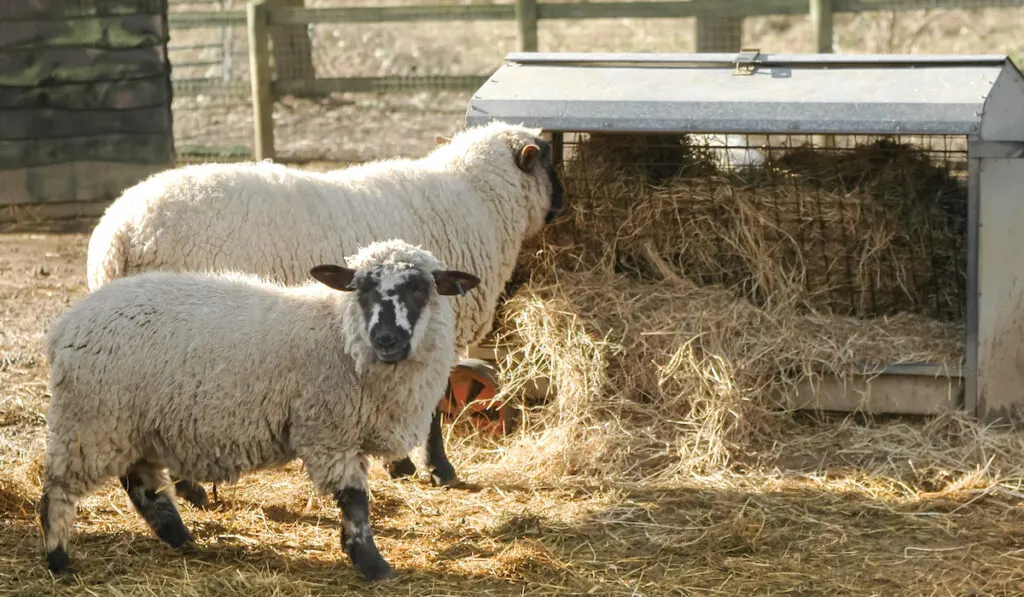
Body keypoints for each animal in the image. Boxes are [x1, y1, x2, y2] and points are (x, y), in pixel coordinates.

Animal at [40, 239, 483, 585]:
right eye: (362, 289)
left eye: (420, 288)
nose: (386, 338)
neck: (339, 332)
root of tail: (66, 326)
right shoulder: (328, 431)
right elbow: (355, 500)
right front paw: (372, 565)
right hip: (91, 420)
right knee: (59, 489)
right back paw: (59, 560)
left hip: (135, 421)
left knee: (142, 485)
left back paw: (181, 539)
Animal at [86, 120, 569, 499]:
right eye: (548, 159)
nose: (565, 206)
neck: (480, 198)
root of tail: (118, 234)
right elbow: (430, 411)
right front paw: (436, 469)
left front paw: (400, 466)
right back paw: (193, 492)